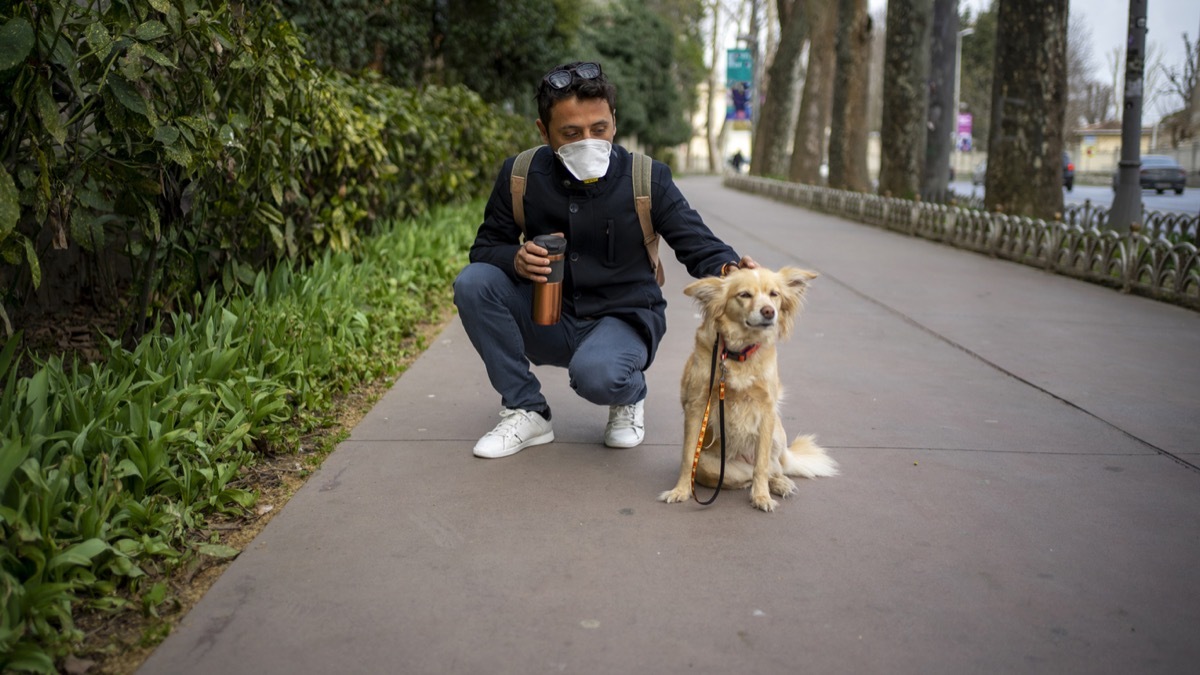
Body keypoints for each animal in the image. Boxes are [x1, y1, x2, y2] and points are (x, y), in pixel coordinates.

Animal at [657, 265, 835, 506]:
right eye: (744, 295)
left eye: (774, 294)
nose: (769, 311)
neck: (739, 353)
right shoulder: (697, 407)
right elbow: (687, 456)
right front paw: (681, 490)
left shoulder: (766, 410)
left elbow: (761, 464)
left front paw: (761, 497)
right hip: (710, 467)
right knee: (746, 476)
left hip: (777, 435)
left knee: (771, 468)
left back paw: (779, 483)